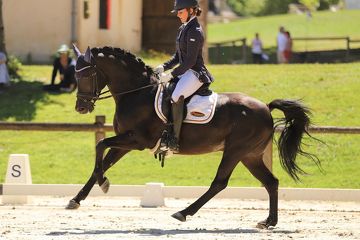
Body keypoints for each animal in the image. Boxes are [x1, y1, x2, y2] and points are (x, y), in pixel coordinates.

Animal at [68, 45, 320, 229]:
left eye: (87, 74)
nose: (81, 107)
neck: (137, 93)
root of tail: (266, 108)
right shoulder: (125, 142)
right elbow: (102, 161)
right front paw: (78, 198)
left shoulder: (137, 140)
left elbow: (100, 145)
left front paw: (103, 183)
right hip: (250, 155)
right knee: (271, 182)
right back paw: (269, 222)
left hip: (235, 151)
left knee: (220, 183)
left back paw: (183, 212)